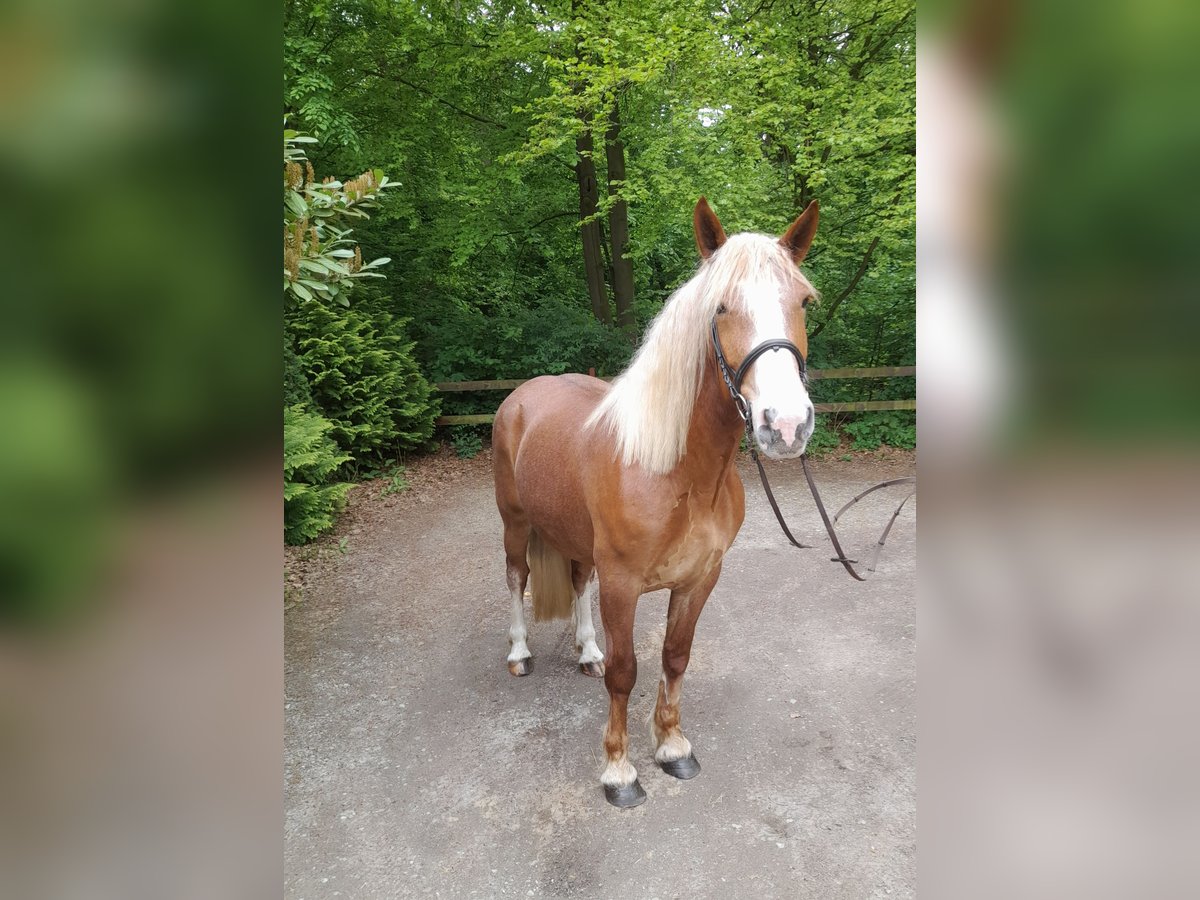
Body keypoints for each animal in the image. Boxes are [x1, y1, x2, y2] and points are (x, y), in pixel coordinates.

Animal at [492, 196, 820, 811]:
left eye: (804, 302)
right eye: (721, 307)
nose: (786, 425)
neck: (678, 473)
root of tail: (521, 395)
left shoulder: (699, 578)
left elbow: (674, 656)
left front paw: (671, 747)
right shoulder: (623, 584)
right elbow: (626, 672)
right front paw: (619, 772)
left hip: (573, 537)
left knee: (577, 583)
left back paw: (586, 651)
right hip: (515, 524)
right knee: (517, 577)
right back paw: (519, 654)